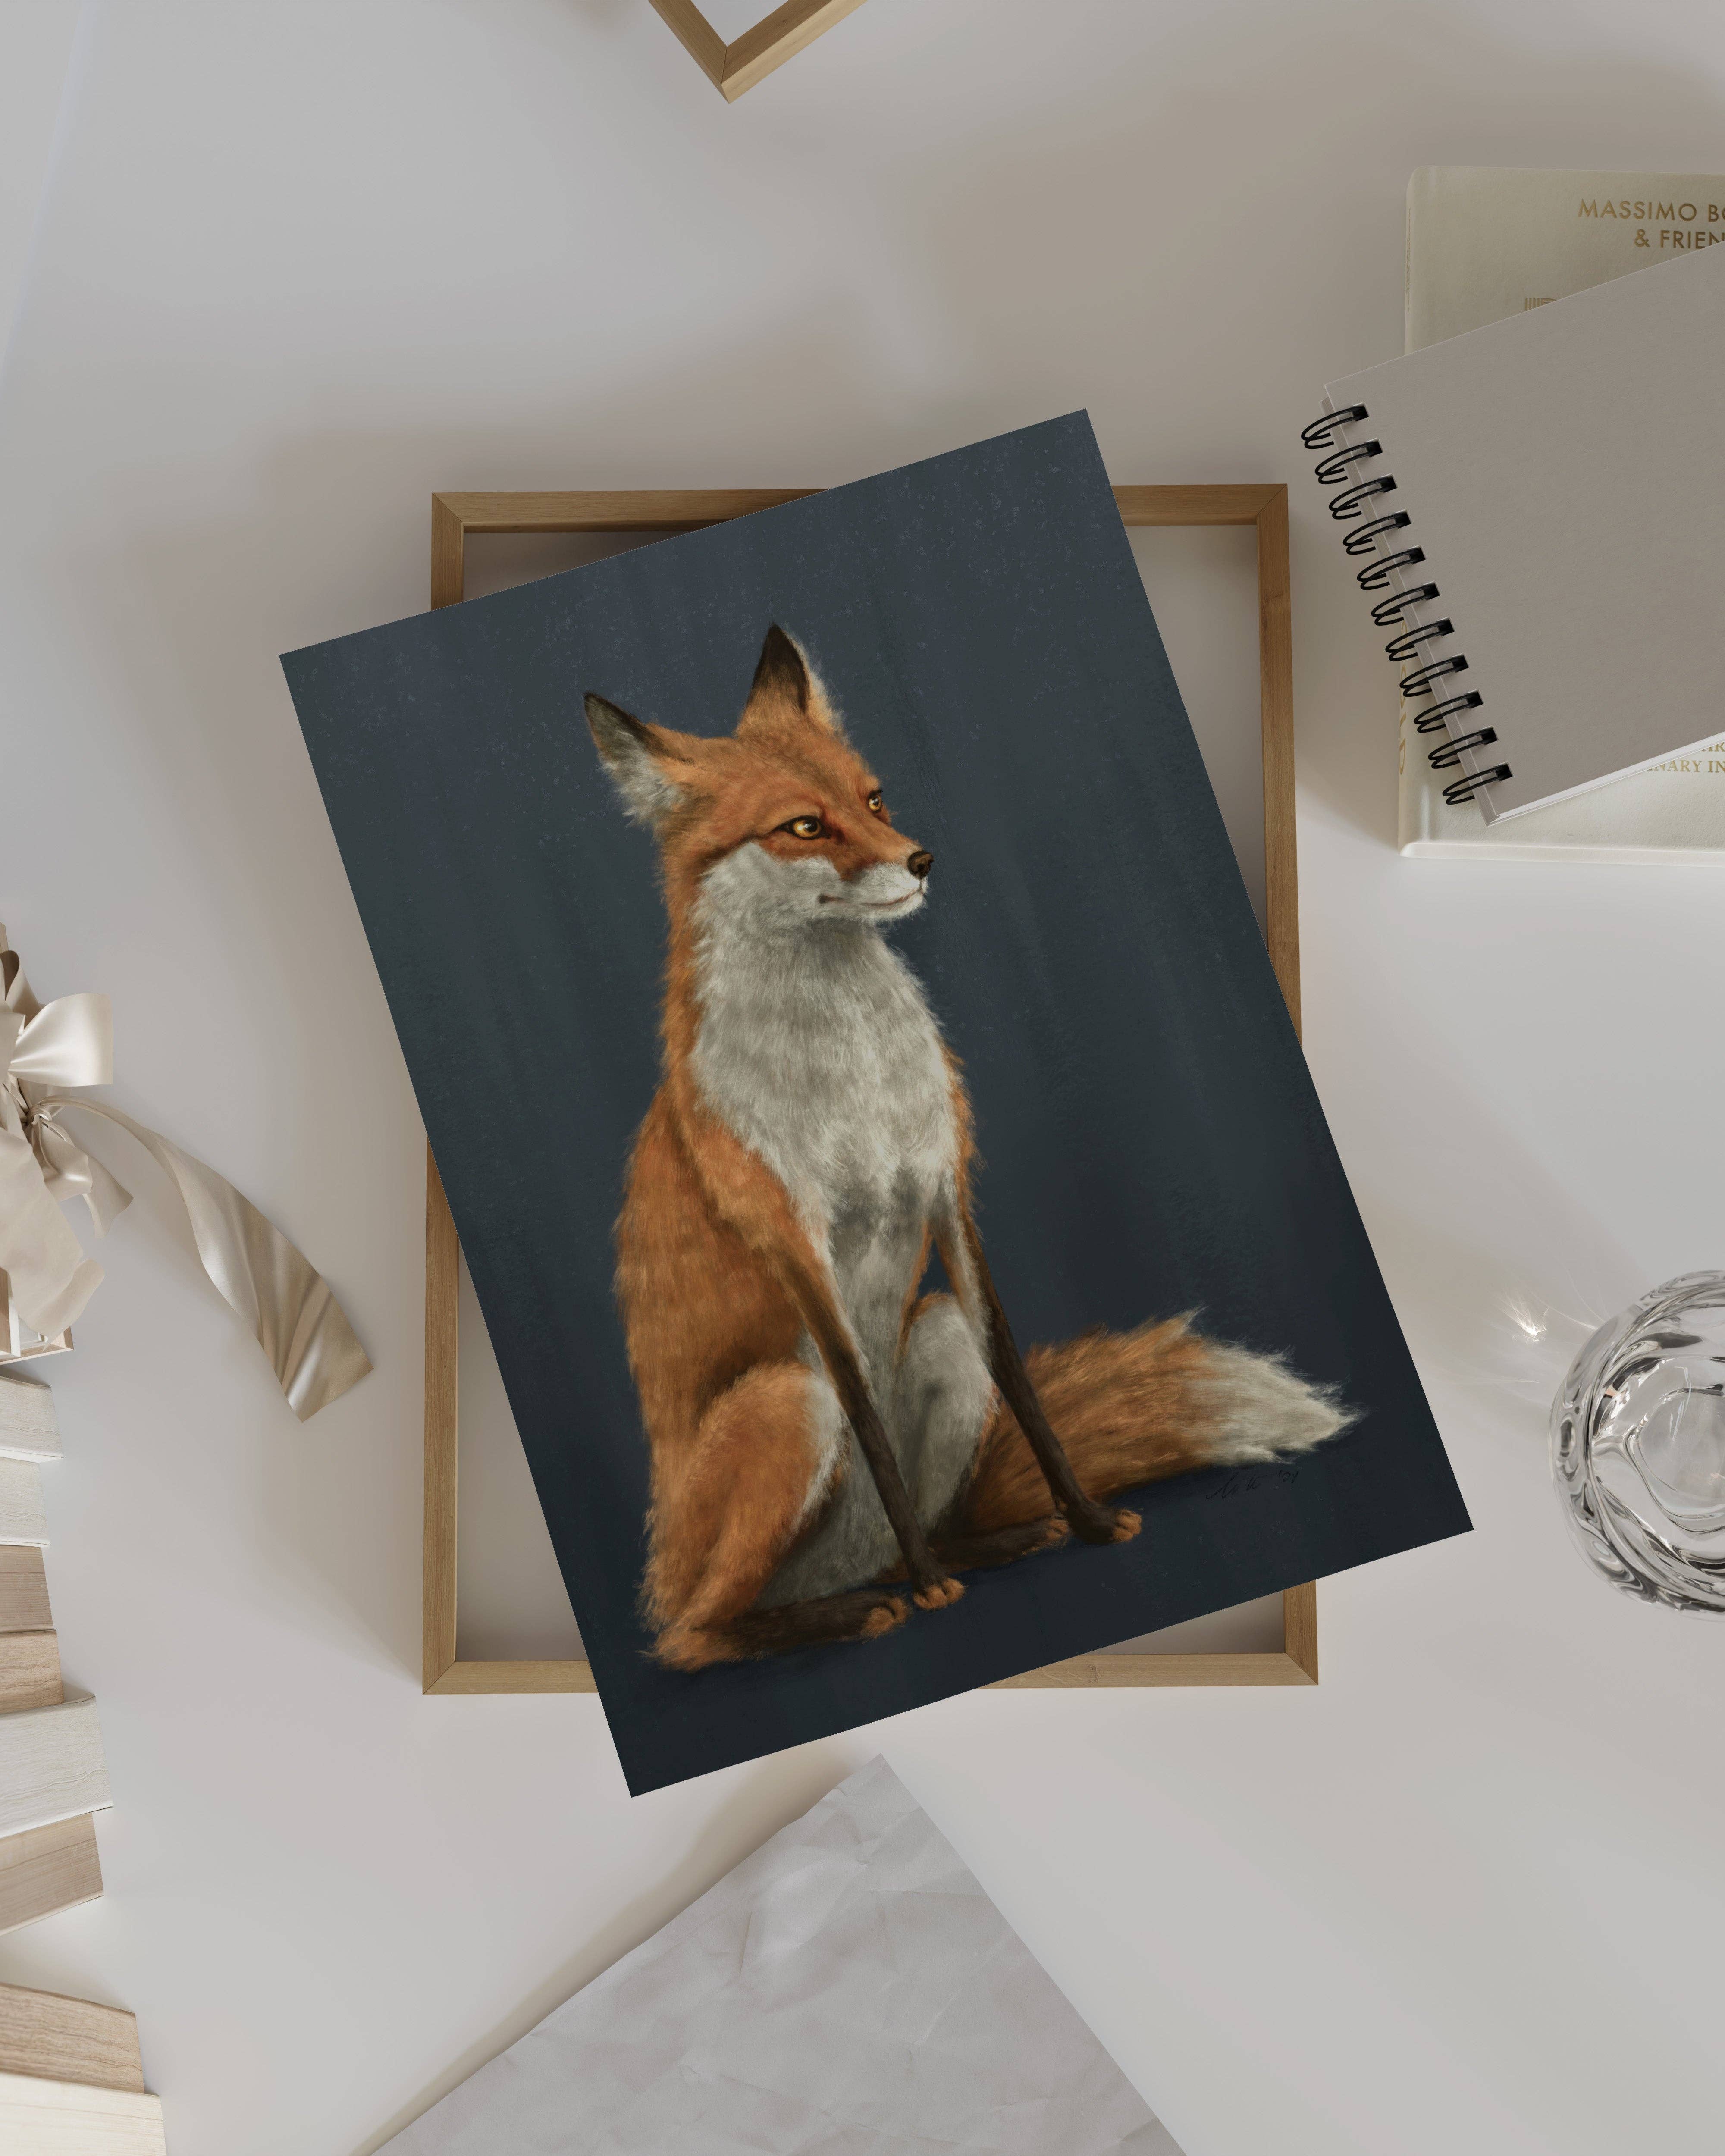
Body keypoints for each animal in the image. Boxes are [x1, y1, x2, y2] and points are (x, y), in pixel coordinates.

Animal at [586, 624, 1352, 1673]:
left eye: (872, 799)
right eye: (803, 827)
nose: (920, 858)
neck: (850, 1070)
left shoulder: (946, 1189)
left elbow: (1021, 1381)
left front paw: (1086, 1519)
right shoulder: (795, 1238)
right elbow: (866, 1417)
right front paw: (933, 1591)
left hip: (935, 1333)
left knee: (926, 1495)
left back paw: (985, 1545)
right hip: (786, 1403)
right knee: (693, 1638)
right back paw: (858, 1609)